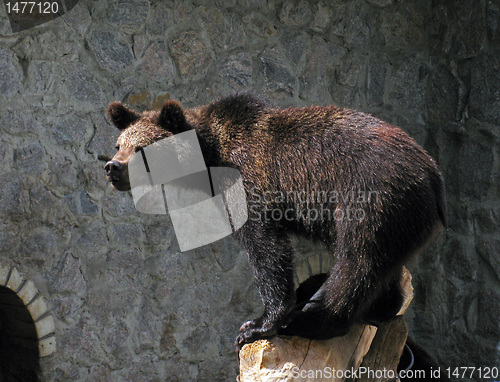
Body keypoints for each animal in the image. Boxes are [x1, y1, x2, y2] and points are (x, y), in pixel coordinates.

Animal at [103, 92, 448, 350]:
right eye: (119, 144)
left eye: (142, 148)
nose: (113, 167)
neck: (210, 160)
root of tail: (434, 174)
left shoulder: (251, 182)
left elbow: (265, 248)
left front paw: (257, 325)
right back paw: (381, 307)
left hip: (370, 198)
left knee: (356, 262)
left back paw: (310, 320)